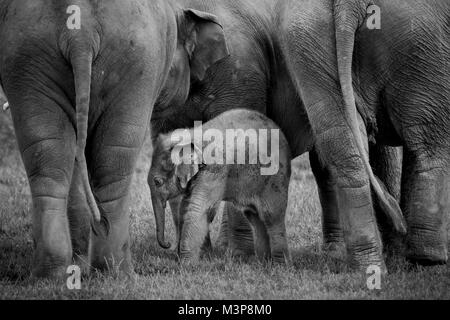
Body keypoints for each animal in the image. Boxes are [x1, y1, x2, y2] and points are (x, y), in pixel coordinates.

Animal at [0, 0, 229, 278]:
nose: (165, 245)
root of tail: (79, 32)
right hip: (135, 61)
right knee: (112, 159)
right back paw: (118, 273)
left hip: (27, 57)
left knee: (50, 156)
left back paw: (54, 274)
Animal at [148, 109, 292, 264]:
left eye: (158, 182)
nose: (167, 244)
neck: (193, 134)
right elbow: (185, 207)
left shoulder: (216, 168)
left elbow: (198, 208)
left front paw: (186, 264)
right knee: (255, 217)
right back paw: (262, 263)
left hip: (275, 180)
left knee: (271, 216)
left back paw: (280, 265)